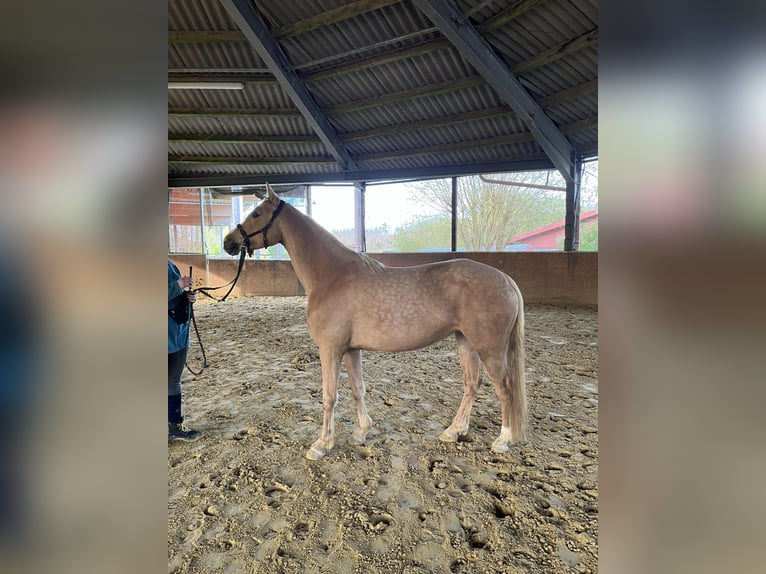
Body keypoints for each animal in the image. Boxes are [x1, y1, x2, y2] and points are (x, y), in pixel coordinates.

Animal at [222, 187, 528, 462]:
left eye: (256, 213)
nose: (228, 242)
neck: (331, 276)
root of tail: (506, 279)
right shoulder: (350, 349)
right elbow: (358, 389)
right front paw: (361, 433)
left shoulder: (330, 349)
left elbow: (329, 396)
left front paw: (322, 444)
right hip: (465, 341)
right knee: (472, 384)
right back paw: (454, 431)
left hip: (489, 348)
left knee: (504, 388)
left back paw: (503, 441)